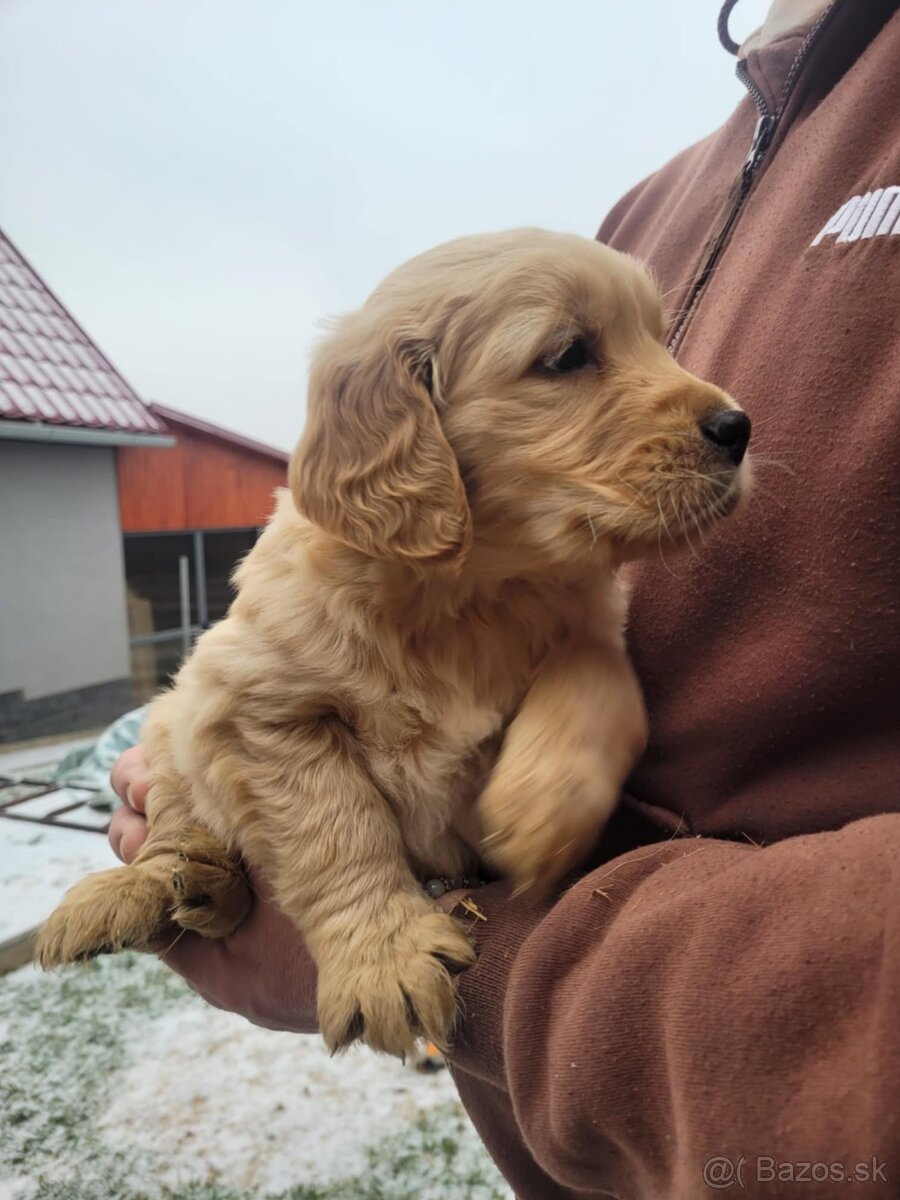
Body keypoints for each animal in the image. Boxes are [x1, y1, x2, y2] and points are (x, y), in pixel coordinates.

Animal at [35, 229, 748, 1056]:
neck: (467, 595)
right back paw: (163, 882)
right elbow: (336, 826)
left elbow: (598, 684)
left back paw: (207, 886)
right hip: (173, 727)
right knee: (172, 827)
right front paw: (384, 957)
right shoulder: (251, 706)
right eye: (568, 354)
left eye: (658, 340)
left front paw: (540, 804)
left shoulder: (591, 627)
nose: (739, 428)